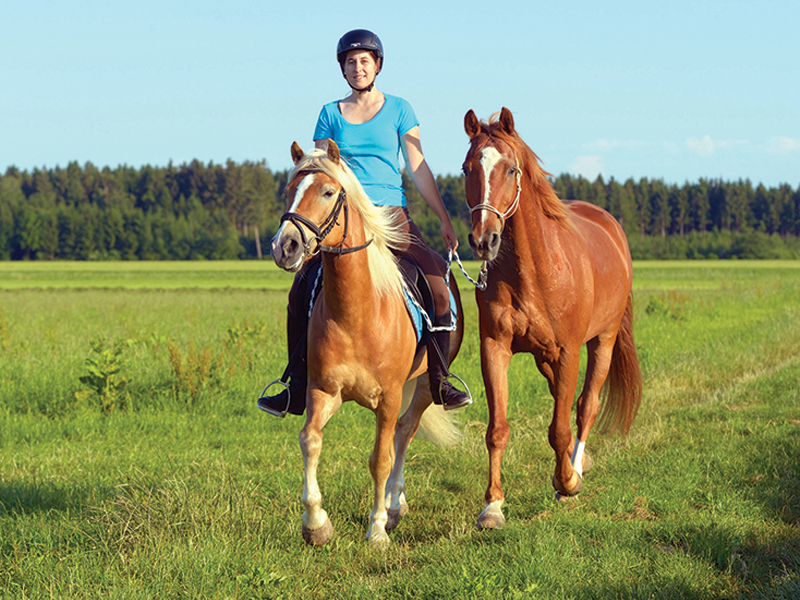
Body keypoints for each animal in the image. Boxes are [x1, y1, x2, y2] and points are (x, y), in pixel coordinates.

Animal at [462, 108, 642, 529]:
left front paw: (567, 482)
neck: (533, 272)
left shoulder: (569, 352)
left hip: (603, 341)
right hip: (546, 357)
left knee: (586, 405)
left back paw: (575, 468)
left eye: (511, 169)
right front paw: (492, 506)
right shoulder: (495, 349)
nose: (484, 240)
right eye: (466, 169)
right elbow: (497, 429)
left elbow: (560, 428)